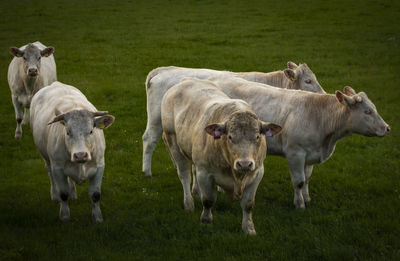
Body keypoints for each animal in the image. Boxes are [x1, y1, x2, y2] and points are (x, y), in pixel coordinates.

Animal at [29, 80, 114, 221]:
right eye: (68, 132)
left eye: (91, 131)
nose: (80, 155)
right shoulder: (57, 168)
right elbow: (63, 193)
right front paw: (64, 216)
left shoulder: (100, 166)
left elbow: (95, 194)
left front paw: (97, 217)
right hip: (46, 158)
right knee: (50, 173)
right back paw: (54, 195)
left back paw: (73, 193)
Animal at [142, 64, 324, 176]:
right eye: (308, 81)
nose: (324, 94)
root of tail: (162, 70)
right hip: (156, 118)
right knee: (149, 139)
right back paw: (147, 172)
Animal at [160, 77, 282, 234]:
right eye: (229, 136)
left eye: (257, 136)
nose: (244, 164)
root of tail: (186, 80)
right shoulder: (205, 173)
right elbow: (208, 200)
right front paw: (206, 222)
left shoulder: (257, 173)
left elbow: (248, 205)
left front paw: (249, 229)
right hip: (173, 140)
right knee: (184, 175)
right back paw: (188, 203)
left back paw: (196, 192)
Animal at [206, 76, 390, 208]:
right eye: (367, 111)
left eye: (374, 108)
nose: (387, 128)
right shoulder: (296, 153)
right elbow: (299, 181)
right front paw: (299, 204)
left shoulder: (311, 155)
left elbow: (307, 178)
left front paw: (307, 198)